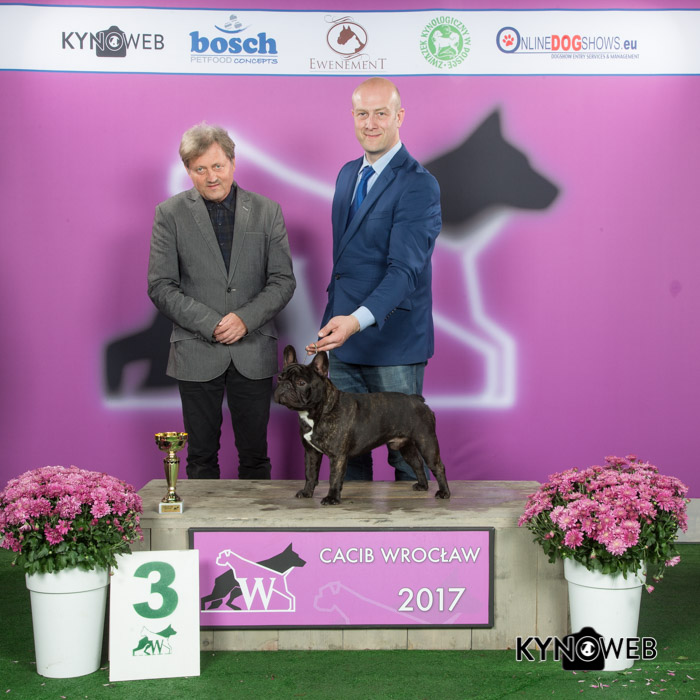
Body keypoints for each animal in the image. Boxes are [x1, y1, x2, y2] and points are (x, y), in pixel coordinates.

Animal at [273, 345, 450, 505]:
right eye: (279, 379)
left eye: (301, 382)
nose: (284, 385)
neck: (318, 411)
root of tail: (417, 400)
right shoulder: (311, 452)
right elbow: (310, 474)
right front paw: (307, 492)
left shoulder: (337, 456)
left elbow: (334, 477)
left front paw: (332, 498)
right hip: (406, 447)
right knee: (417, 463)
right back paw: (422, 485)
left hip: (426, 442)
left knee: (438, 466)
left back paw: (444, 493)